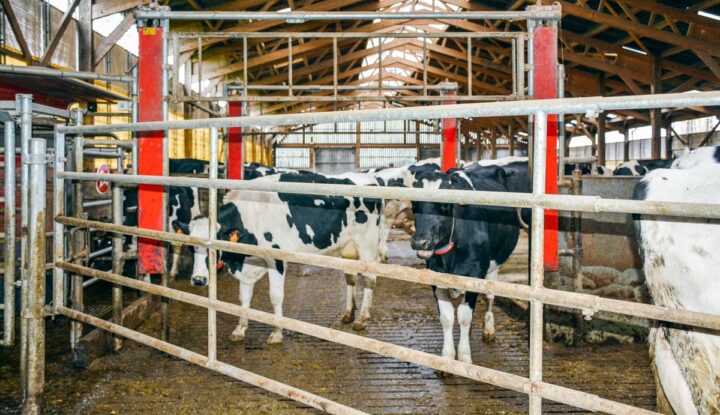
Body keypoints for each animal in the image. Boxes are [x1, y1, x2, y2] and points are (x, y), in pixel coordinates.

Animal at [174, 170, 386, 344]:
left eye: (214, 246)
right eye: (191, 247)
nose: (199, 280)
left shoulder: (276, 259)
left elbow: (275, 296)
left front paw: (277, 331)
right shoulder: (247, 263)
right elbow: (244, 297)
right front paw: (240, 328)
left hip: (367, 244)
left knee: (370, 279)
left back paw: (361, 319)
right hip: (347, 248)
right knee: (350, 277)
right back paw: (349, 314)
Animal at [408, 167, 520, 362]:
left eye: (445, 206)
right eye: (414, 204)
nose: (420, 242)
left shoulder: (475, 274)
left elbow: (465, 317)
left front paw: (464, 356)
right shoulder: (435, 275)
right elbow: (447, 317)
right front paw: (447, 357)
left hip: (493, 268)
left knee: (490, 296)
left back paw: (488, 329)